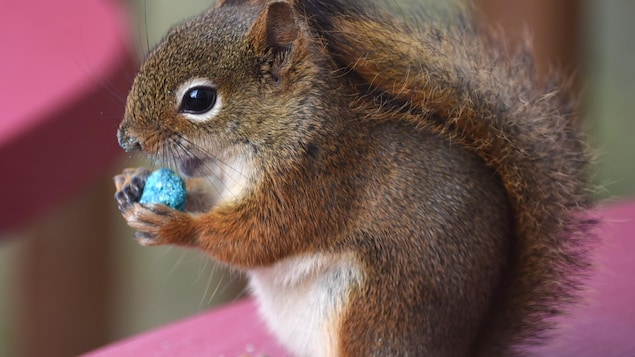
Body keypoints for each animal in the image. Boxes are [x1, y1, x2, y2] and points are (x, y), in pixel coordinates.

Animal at [115, 1, 600, 354]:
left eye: (199, 99)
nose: (125, 138)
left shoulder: (316, 181)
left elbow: (259, 237)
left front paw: (177, 227)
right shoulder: (220, 181)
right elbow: (206, 198)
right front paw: (131, 184)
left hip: (375, 315)